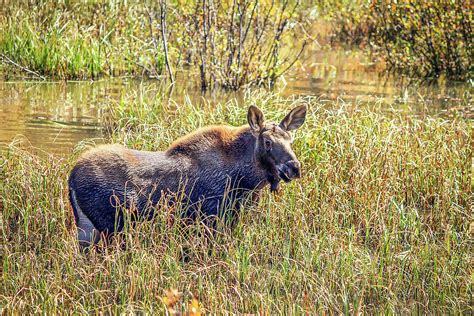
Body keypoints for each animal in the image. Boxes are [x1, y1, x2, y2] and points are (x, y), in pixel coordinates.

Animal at [69, 105, 308, 248]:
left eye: (291, 139)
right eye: (268, 142)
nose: (294, 167)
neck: (245, 180)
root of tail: (71, 178)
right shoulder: (210, 218)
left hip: (87, 228)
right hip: (109, 226)